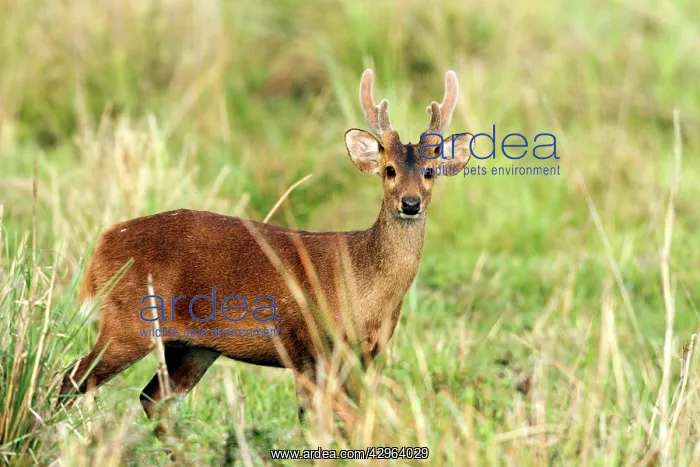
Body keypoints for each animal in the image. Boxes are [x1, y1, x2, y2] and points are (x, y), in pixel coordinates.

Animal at [56, 69, 473, 450]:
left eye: (430, 172)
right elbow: (326, 425)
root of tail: (104, 241)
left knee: (152, 398)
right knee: (70, 380)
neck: (361, 285)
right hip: (128, 324)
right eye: (389, 170)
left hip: (193, 346)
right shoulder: (308, 346)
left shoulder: (369, 354)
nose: (410, 203)